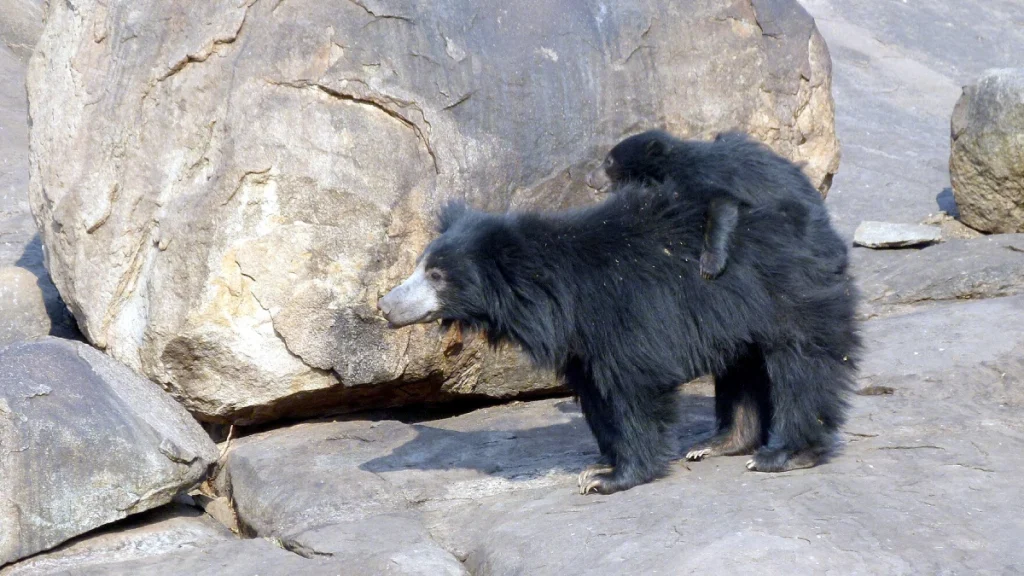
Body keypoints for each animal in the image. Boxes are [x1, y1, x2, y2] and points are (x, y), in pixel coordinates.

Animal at [377, 180, 859, 495]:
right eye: (420, 267)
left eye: (436, 276)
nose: (384, 304)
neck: (555, 296)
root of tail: (820, 223)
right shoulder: (581, 343)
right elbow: (594, 396)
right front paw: (601, 461)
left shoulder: (624, 311)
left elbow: (635, 388)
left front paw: (609, 478)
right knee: (742, 366)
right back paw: (718, 442)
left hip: (789, 294)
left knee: (803, 365)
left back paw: (782, 454)